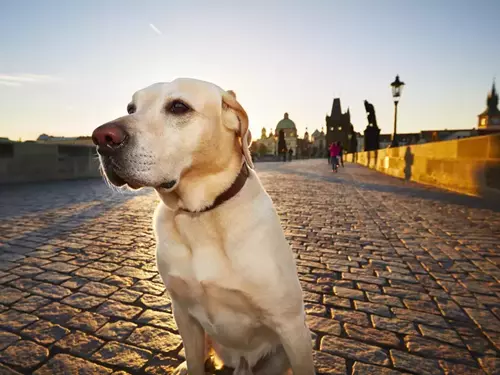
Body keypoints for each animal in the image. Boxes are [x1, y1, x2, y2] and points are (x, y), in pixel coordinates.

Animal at [92, 78, 314, 375]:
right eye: (131, 108)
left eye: (178, 107)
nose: (102, 138)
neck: (200, 214)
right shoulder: (184, 315)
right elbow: (195, 359)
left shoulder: (291, 326)